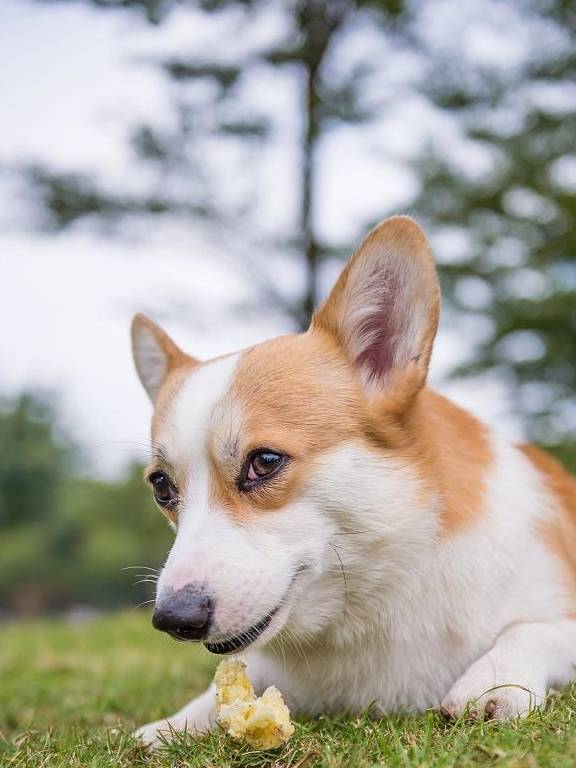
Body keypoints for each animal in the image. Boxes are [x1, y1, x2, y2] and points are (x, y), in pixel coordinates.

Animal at [130, 216, 576, 744]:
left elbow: (534, 628)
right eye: (161, 486)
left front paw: (493, 681)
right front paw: (170, 726)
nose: (173, 619)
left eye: (264, 462)